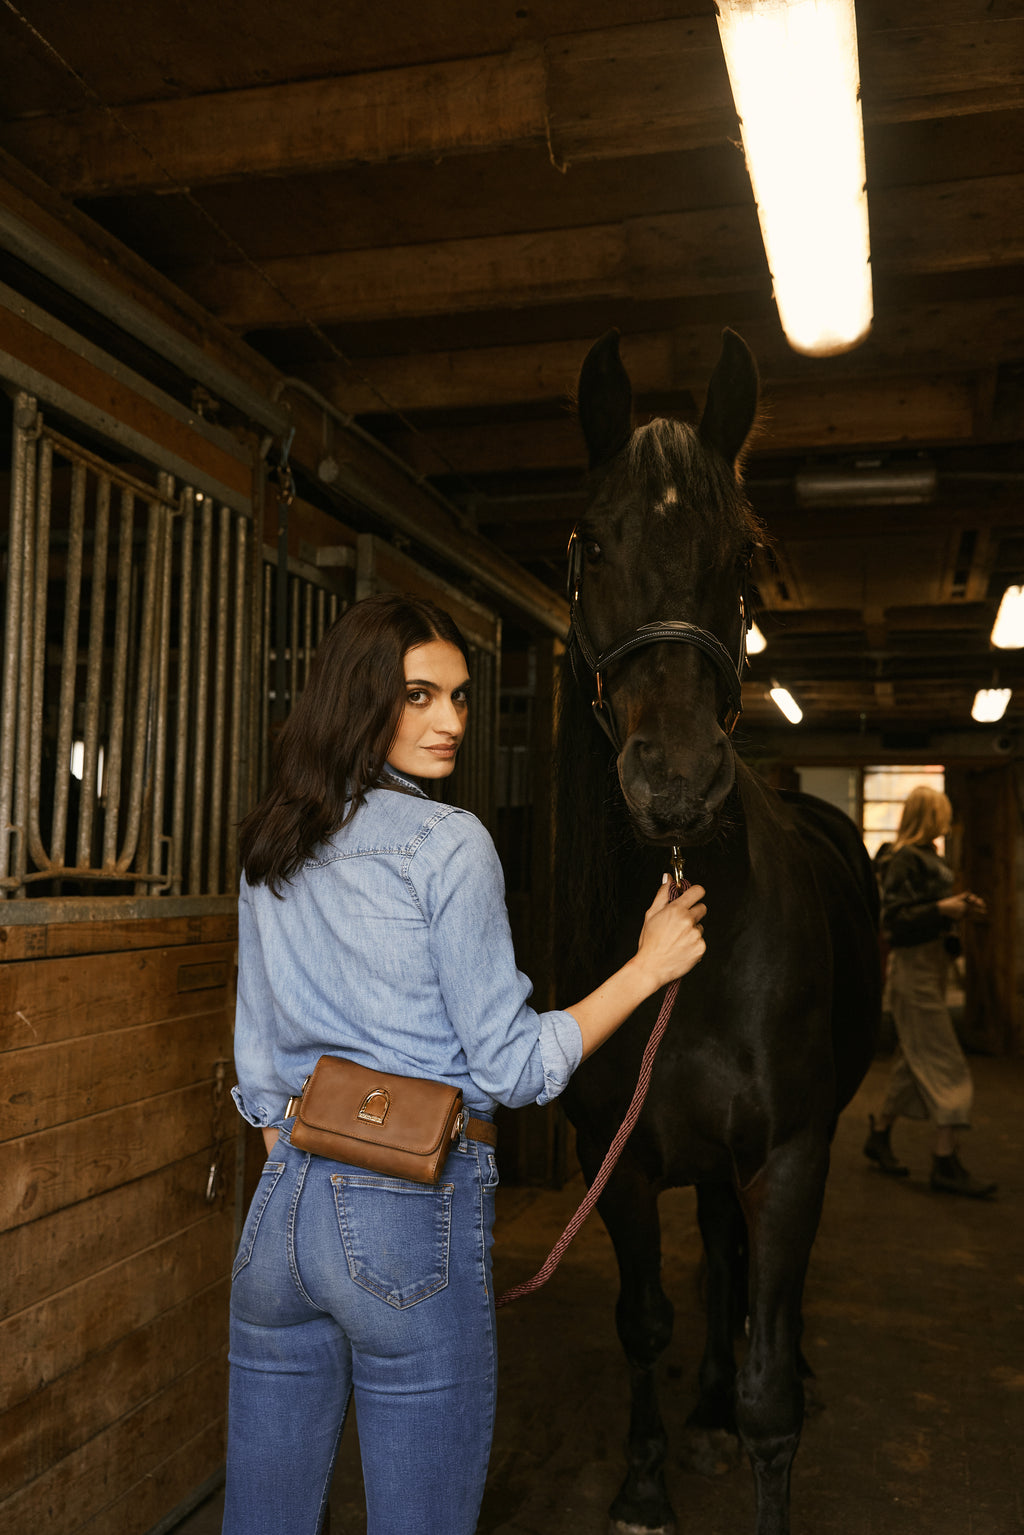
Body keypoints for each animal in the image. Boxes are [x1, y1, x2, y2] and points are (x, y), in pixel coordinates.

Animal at [555, 329, 881, 1535]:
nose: (678, 783)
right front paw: (647, 1481)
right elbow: (645, 1316)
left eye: (741, 556)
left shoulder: (786, 1156)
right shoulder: (618, 1158)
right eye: (593, 543)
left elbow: (771, 1392)